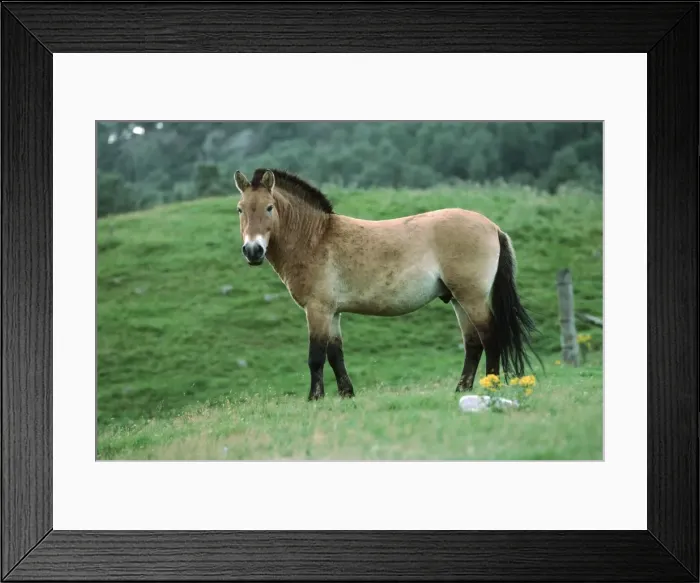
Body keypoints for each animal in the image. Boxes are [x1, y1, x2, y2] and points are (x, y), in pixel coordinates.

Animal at [233, 167, 540, 401]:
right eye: (240, 209)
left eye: (269, 208)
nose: (253, 251)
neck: (316, 238)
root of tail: (492, 227)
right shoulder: (333, 313)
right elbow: (335, 354)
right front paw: (346, 394)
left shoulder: (318, 310)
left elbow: (316, 356)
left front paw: (314, 398)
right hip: (457, 299)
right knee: (473, 343)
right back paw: (461, 389)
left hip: (472, 298)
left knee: (489, 337)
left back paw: (491, 385)